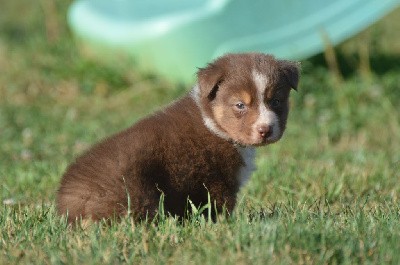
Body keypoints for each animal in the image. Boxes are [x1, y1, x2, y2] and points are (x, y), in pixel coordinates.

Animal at [57, 51, 300, 221]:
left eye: (276, 101)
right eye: (240, 105)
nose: (265, 129)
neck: (212, 122)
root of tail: (68, 204)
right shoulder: (218, 179)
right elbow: (221, 207)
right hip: (135, 194)